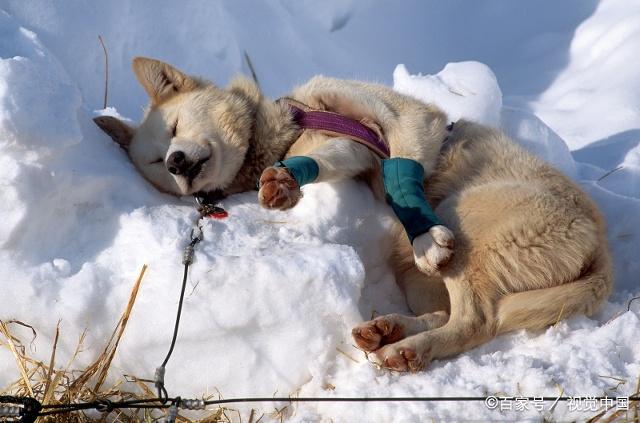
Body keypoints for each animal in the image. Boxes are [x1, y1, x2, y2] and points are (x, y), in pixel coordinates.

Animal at [96, 58, 616, 372]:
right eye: (153, 162)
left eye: (174, 128)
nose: (175, 162)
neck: (284, 131)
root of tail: (600, 248)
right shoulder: (355, 150)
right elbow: (326, 159)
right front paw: (284, 181)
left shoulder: (396, 123)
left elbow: (397, 165)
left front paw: (424, 234)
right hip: (424, 274)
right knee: (460, 315)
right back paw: (391, 332)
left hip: (462, 217)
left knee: (478, 320)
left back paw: (407, 344)